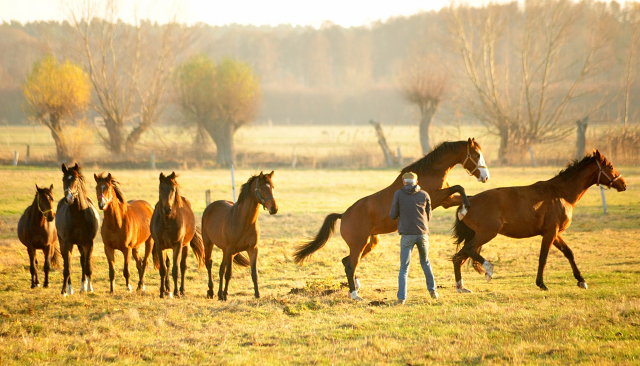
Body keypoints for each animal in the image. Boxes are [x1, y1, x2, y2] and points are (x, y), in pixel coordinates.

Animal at [55, 164, 100, 296]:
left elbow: (87, 265)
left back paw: (83, 286)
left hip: (82, 244)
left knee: (82, 261)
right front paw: (65, 290)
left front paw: (89, 287)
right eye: (63, 179)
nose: (68, 198)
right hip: (63, 243)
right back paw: (71, 288)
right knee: (67, 261)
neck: (79, 215)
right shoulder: (67, 243)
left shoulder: (89, 243)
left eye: (75, 179)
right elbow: (67, 267)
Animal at [202, 171, 278, 300]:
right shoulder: (231, 250)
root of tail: (210, 207)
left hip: (225, 251)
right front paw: (225, 296)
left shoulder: (252, 249)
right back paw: (211, 291)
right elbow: (228, 274)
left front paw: (257, 294)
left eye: (272, 187)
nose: (274, 209)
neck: (244, 221)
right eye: (261, 188)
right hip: (209, 244)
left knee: (221, 269)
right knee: (209, 263)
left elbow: (254, 273)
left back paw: (219, 294)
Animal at [296, 139, 490, 302]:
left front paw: (465, 209)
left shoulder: (446, 200)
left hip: (370, 243)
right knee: (350, 265)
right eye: (476, 154)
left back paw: (356, 288)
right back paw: (355, 296)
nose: (485, 177)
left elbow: (463, 193)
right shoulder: (437, 198)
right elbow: (460, 187)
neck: (430, 172)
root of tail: (344, 215)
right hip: (359, 244)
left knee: (347, 261)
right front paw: (465, 208)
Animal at [452, 150, 628, 294]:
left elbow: (569, 253)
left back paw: (461, 287)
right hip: (486, 234)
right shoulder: (550, 233)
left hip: (478, 236)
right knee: (467, 251)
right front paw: (542, 284)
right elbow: (543, 258)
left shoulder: (554, 233)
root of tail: (468, 202)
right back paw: (488, 269)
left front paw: (581, 280)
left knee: (458, 257)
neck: (560, 194)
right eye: (610, 166)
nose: (624, 184)